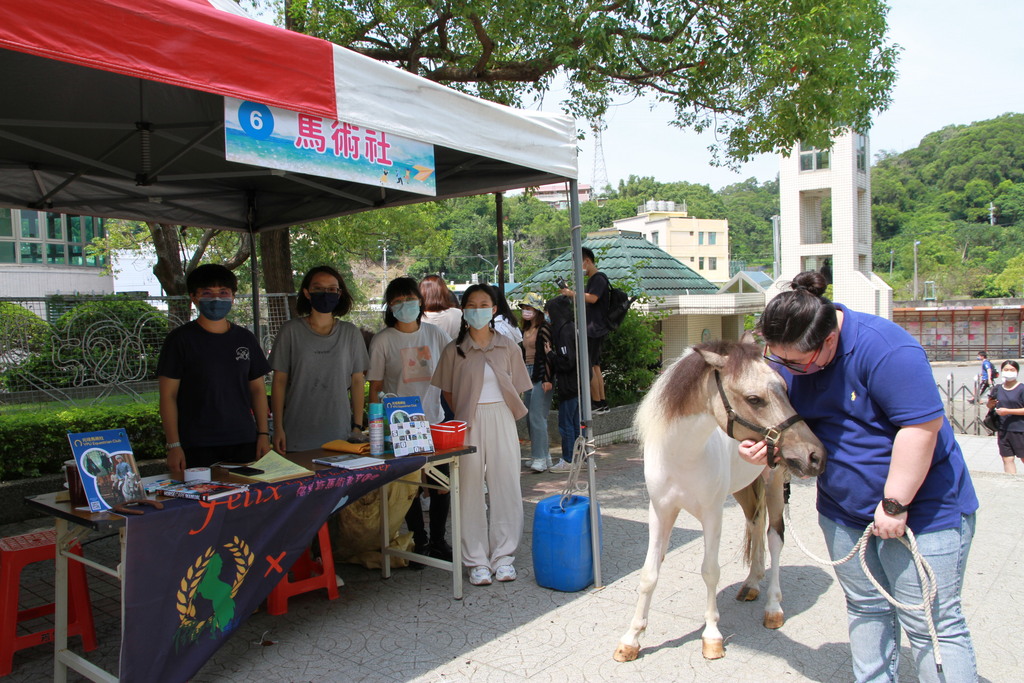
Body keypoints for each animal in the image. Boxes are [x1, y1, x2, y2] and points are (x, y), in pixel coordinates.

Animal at [614, 339, 823, 663]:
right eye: (754, 399)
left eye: (785, 389)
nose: (814, 455)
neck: (683, 456)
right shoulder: (660, 512)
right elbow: (649, 574)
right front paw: (631, 640)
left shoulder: (712, 515)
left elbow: (710, 571)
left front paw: (711, 637)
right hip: (744, 488)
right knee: (755, 522)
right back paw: (751, 583)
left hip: (774, 484)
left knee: (774, 537)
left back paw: (773, 608)